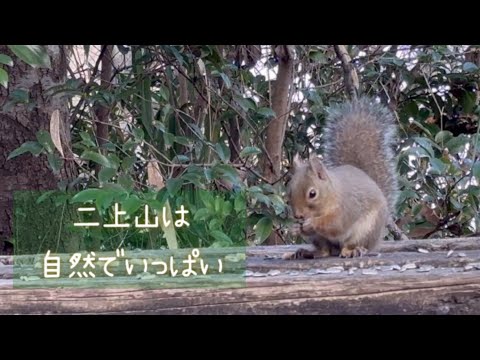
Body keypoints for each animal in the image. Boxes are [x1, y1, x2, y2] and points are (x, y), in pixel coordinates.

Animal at [284, 96, 398, 258]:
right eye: (289, 193)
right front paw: (294, 228)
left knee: (351, 245)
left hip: (366, 230)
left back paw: (353, 250)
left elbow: (336, 224)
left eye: (312, 194)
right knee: (325, 251)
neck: (331, 195)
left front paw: (312, 223)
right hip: (319, 238)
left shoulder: (347, 207)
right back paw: (308, 252)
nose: (298, 216)